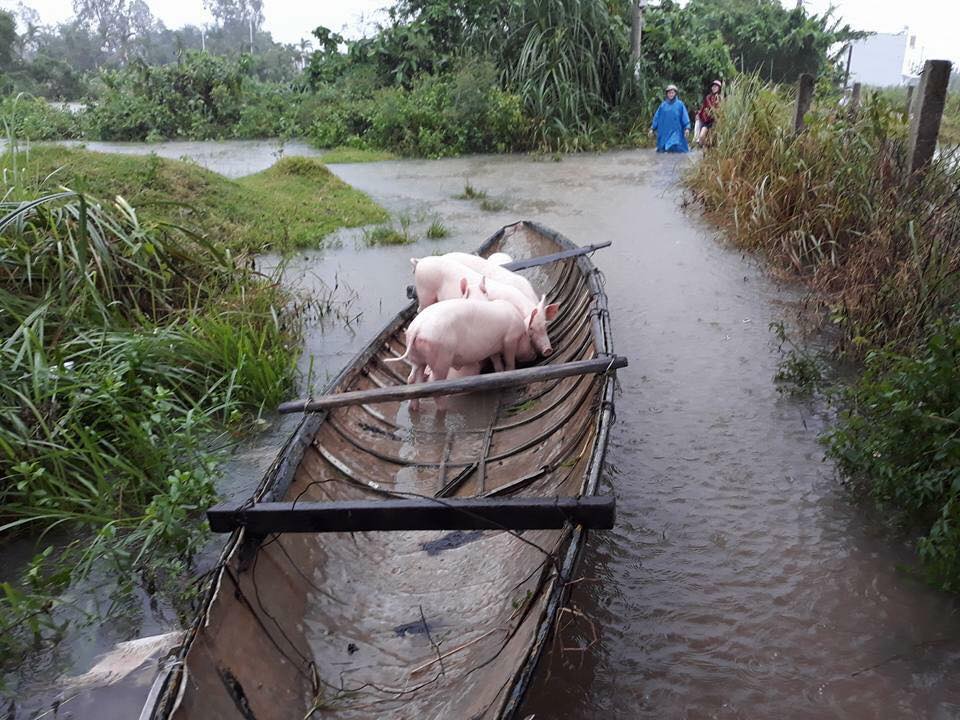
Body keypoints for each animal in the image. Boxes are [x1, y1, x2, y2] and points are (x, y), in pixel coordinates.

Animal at [386, 298, 528, 410]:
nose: (530, 356)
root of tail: (417, 328)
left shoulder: (493, 348)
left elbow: (496, 361)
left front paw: (500, 372)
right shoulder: (510, 339)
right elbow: (509, 359)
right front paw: (511, 372)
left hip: (417, 357)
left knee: (413, 381)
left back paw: (413, 408)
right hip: (441, 356)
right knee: (433, 385)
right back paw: (444, 408)